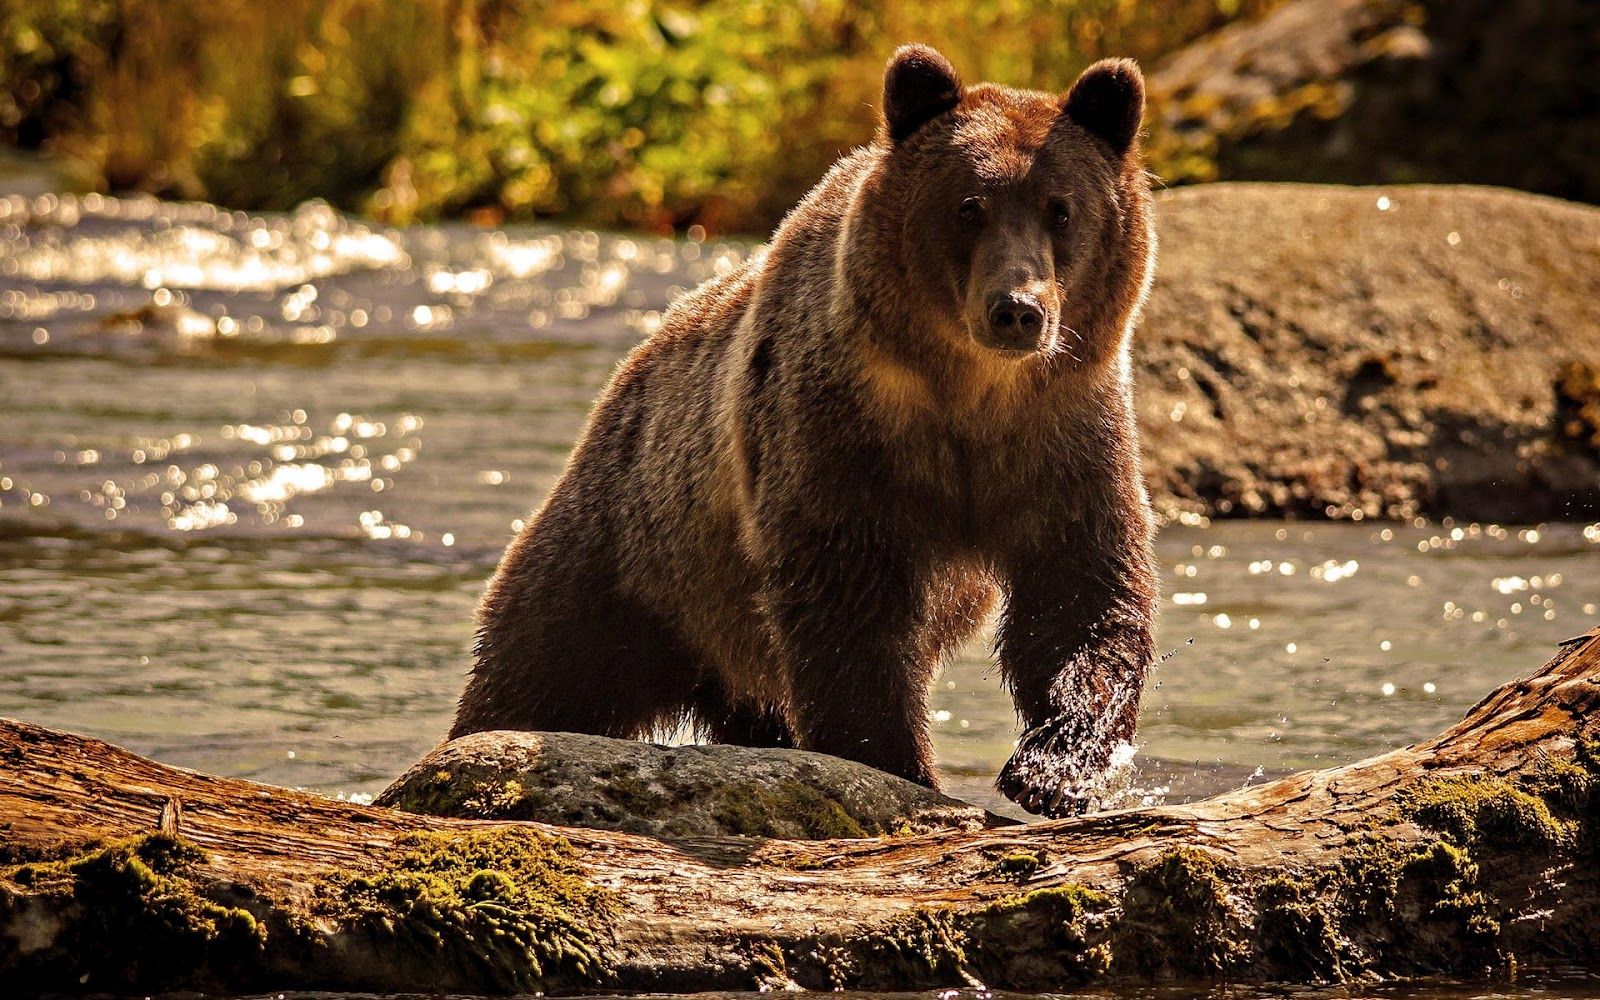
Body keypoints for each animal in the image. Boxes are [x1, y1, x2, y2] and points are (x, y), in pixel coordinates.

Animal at [457, 42, 1158, 816]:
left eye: (1061, 210)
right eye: (969, 205)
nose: (1017, 309)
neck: (970, 395)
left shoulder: (1063, 434)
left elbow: (1080, 589)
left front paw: (1055, 766)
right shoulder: (839, 434)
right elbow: (847, 604)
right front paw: (898, 763)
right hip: (633, 555)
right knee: (541, 665)